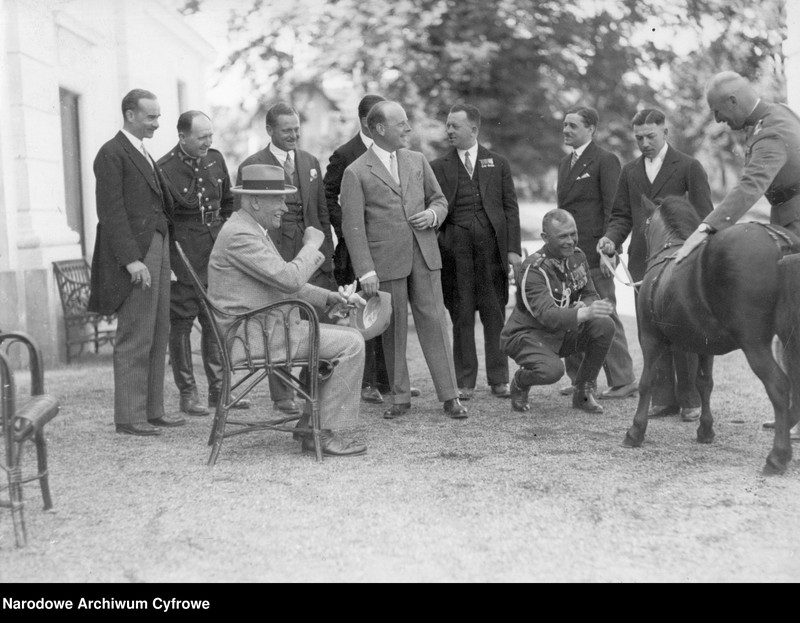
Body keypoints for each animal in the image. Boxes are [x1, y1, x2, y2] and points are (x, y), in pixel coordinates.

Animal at [624, 197, 800, 476]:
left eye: (646, 222)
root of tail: (779, 241)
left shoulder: (650, 339)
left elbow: (646, 383)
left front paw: (635, 431)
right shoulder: (704, 345)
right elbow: (704, 384)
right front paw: (705, 430)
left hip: (755, 344)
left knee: (780, 386)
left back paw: (777, 456)